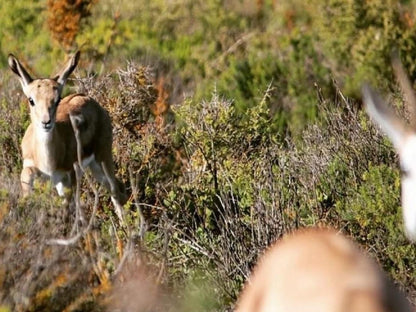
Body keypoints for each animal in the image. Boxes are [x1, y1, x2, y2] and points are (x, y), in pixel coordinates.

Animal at [8, 51, 127, 219]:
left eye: (57, 99)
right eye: (31, 100)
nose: (46, 122)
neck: (48, 162)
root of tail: (88, 98)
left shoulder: (67, 179)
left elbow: (66, 209)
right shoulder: (31, 170)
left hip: (102, 161)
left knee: (116, 191)